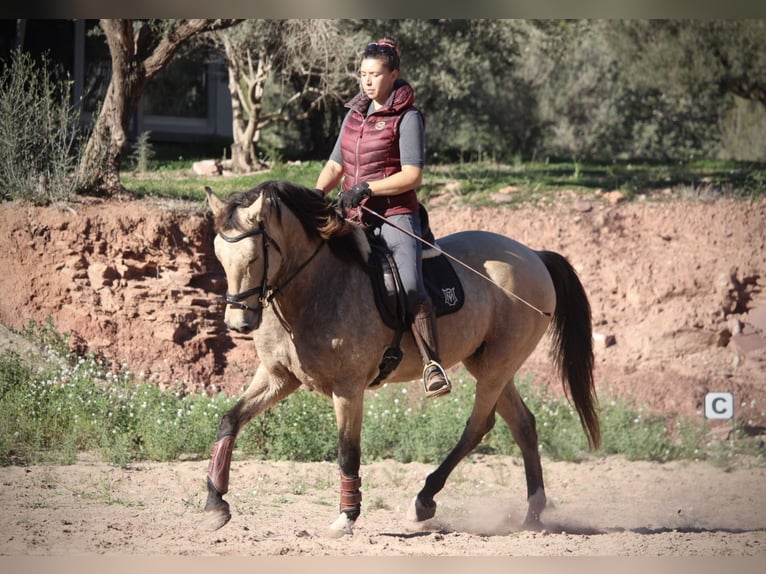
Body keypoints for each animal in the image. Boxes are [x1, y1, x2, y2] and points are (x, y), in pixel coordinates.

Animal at [202, 180, 600, 540]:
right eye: (219, 257)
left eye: (255, 257)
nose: (238, 323)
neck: (314, 287)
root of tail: (534, 255)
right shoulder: (278, 377)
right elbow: (229, 420)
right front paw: (215, 503)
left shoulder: (348, 389)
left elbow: (348, 452)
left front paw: (346, 517)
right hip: (488, 364)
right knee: (522, 424)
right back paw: (532, 513)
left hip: (498, 365)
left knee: (477, 427)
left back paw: (424, 500)